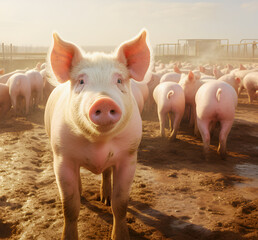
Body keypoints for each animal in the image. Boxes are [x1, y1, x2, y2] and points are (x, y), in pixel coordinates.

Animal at [43, 30, 150, 240]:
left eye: (119, 80)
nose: (104, 101)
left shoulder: (129, 156)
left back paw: (105, 199)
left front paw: (120, 236)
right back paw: (82, 193)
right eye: (81, 81)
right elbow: (69, 206)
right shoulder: (61, 157)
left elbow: (121, 204)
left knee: (106, 173)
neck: (99, 143)